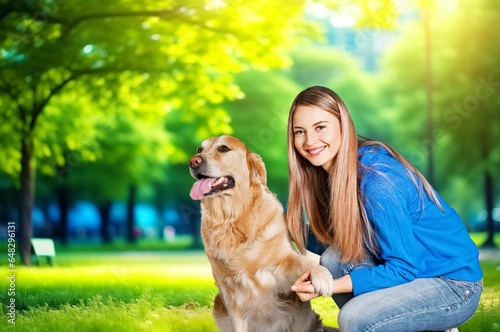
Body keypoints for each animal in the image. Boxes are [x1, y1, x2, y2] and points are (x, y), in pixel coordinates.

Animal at [189, 136, 338, 332]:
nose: (193, 161)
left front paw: (322, 276)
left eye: (223, 148)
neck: (233, 219)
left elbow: (304, 261)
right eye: (199, 150)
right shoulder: (230, 292)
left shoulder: (282, 262)